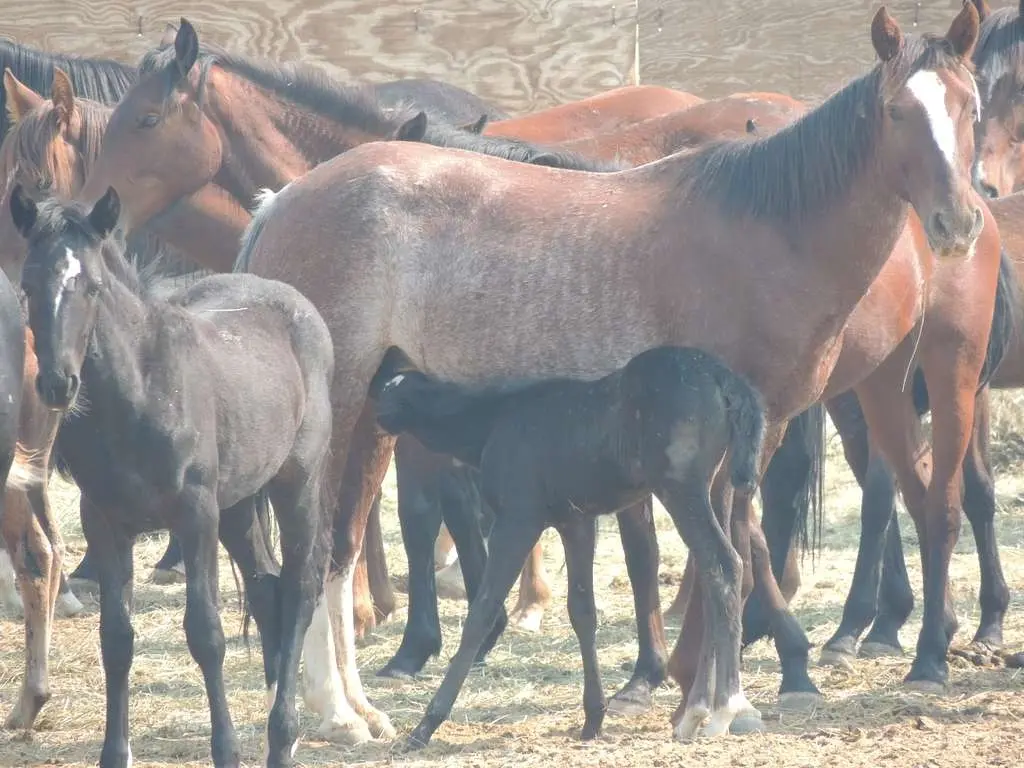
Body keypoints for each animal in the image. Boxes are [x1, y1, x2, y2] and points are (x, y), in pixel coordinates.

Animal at [372, 346, 765, 749]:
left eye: (383, 394)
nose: (373, 423)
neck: (494, 419)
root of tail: (725, 378)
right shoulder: (575, 523)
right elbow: (583, 611)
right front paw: (593, 718)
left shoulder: (518, 519)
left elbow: (482, 610)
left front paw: (426, 725)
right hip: (717, 488)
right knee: (715, 573)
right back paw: (695, 711)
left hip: (682, 489)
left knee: (724, 565)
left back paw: (723, 708)